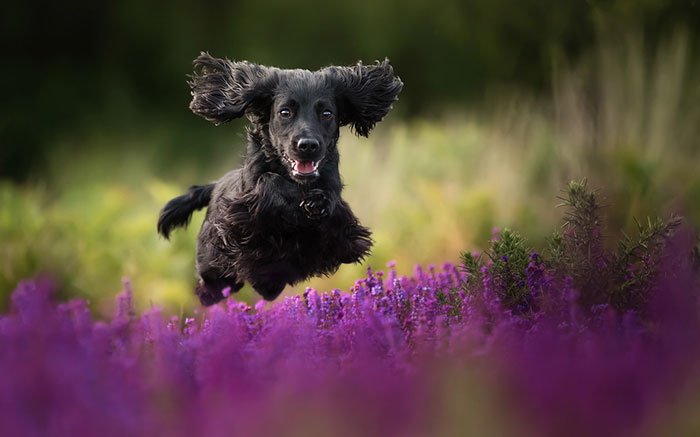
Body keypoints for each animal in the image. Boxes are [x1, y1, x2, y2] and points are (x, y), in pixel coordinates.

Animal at [157, 52, 402, 304]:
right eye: (285, 112)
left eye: (327, 113)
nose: (308, 145)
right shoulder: (242, 214)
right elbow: (269, 181)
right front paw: (302, 201)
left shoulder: (340, 227)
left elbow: (333, 201)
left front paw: (318, 202)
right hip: (214, 265)